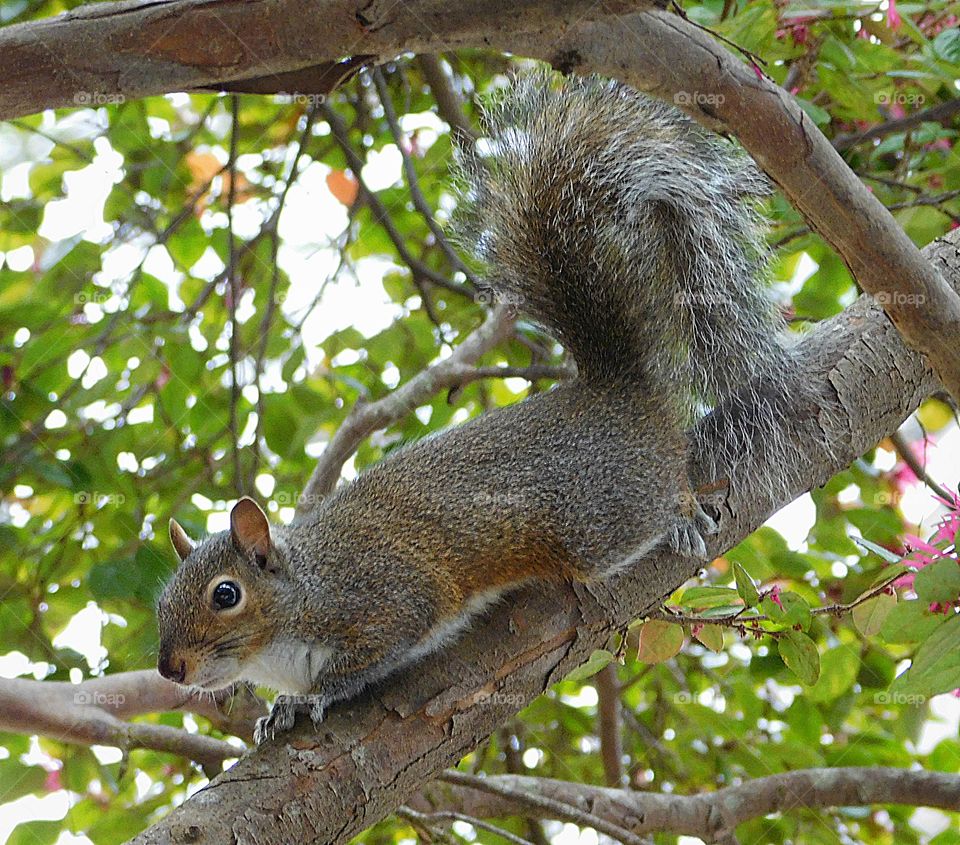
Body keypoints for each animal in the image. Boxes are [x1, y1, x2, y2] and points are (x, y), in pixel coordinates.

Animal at [155, 71, 794, 744]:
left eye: (226, 595)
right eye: (164, 598)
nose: (170, 669)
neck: (302, 593)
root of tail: (617, 389)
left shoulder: (386, 598)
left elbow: (371, 654)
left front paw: (313, 697)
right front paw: (279, 708)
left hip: (597, 516)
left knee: (652, 503)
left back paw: (682, 515)